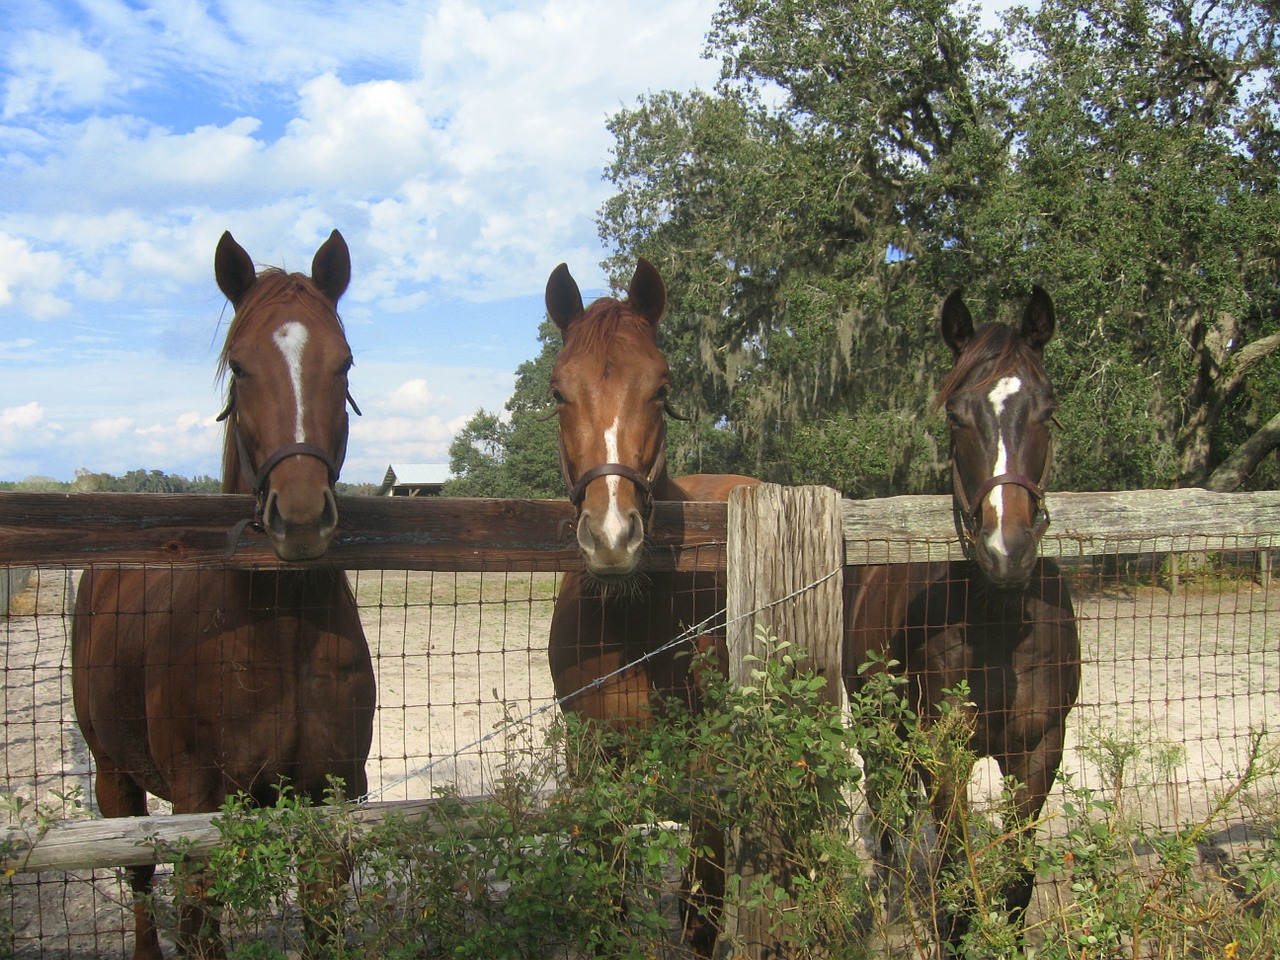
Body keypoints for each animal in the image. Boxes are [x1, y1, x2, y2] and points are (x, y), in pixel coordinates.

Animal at [72, 229, 373, 957]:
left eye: (345, 363)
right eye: (238, 367)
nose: (300, 517)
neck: (279, 630)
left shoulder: (332, 798)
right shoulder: (201, 806)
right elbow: (196, 924)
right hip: (113, 774)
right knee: (139, 879)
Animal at [542, 259, 757, 957]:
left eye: (662, 390)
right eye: (558, 391)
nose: (612, 536)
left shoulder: (710, 771)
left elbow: (701, 913)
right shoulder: (591, 762)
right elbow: (608, 901)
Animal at [844, 289, 1085, 952]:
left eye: (1049, 412)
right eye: (955, 416)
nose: (1007, 550)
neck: (998, 627)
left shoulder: (1040, 751)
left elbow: (1016, 880)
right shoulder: (941, 752)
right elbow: (955, 879)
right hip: (878, 728)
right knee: (888, 822)